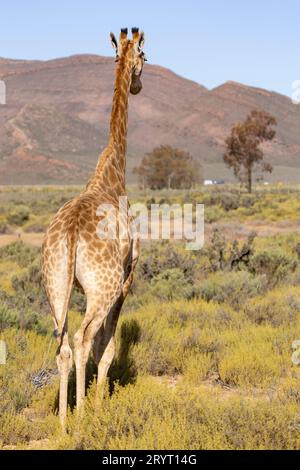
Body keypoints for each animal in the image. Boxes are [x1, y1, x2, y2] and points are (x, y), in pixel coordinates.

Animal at [41, 27, 146, 428]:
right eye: (145, 57)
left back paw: (63, 421)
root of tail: (70, 233)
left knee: (62, 345)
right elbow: (108, 344)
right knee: (83, 338)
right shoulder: (127, 278)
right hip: (103, 286)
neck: (113, 176)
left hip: (54, 284)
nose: (138, 85)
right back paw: (85, 415)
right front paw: (102, 403)